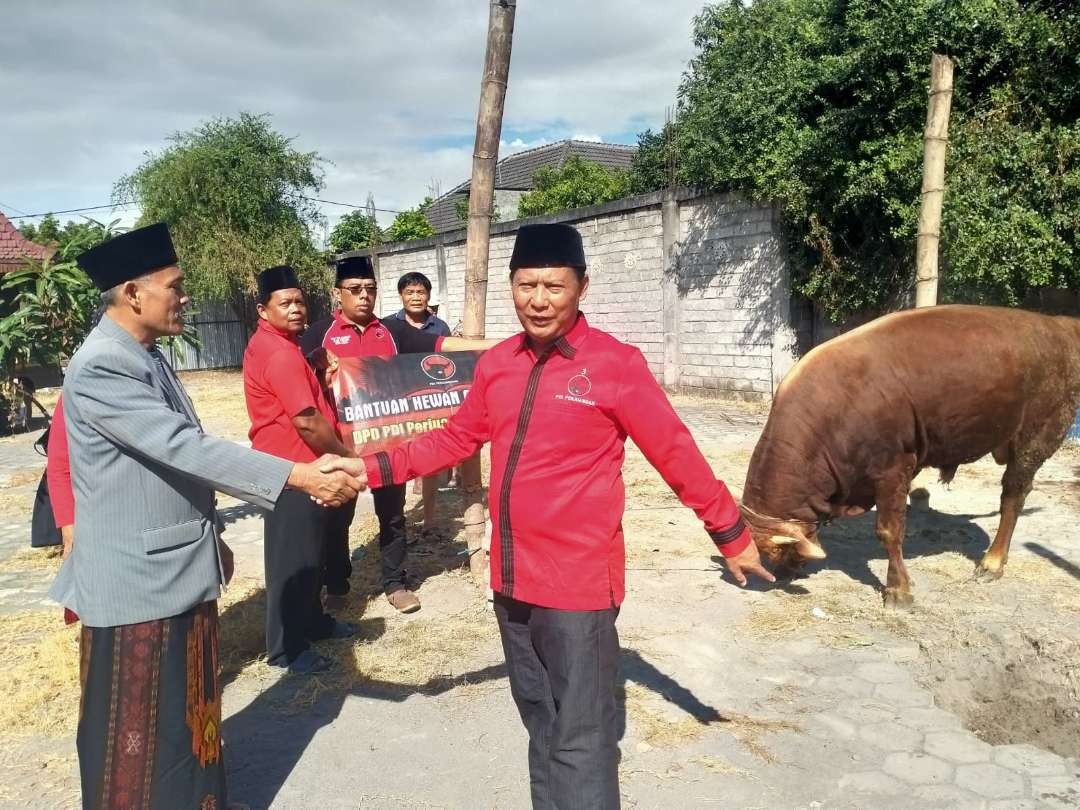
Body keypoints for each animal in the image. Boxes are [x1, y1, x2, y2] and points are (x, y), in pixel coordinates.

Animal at [743, 306, 1080, 609]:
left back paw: (992, 563)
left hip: (1035, 439)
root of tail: (1058, 325)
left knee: (1013, 497)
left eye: (777, 553)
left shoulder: (893, 469)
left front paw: (898, 590)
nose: (780, 574)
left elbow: (889, 531)